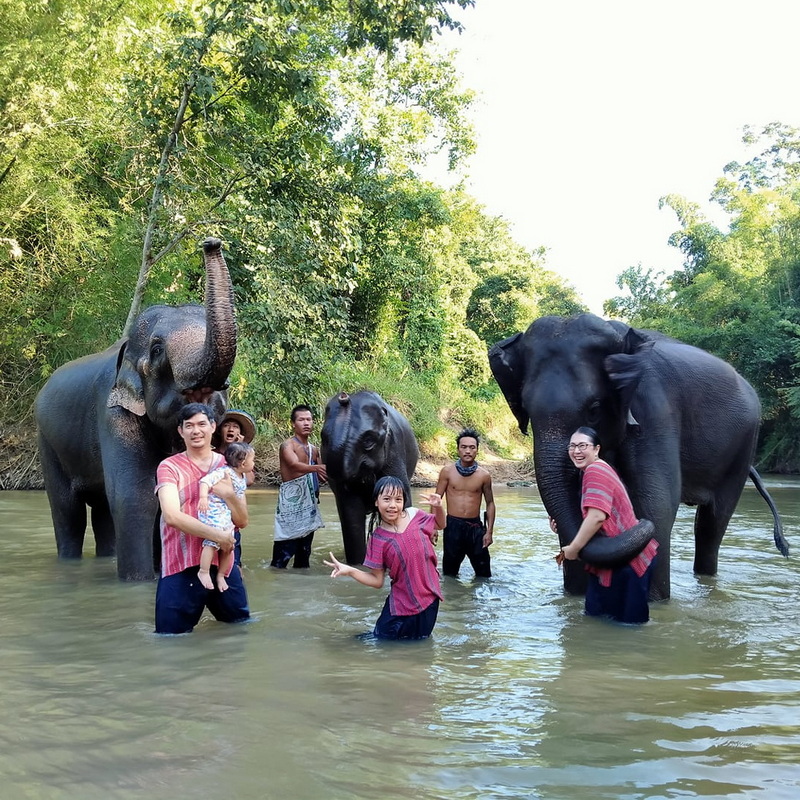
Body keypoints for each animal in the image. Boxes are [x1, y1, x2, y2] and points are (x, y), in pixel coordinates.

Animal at [36, 238, 236, 580]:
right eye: (157, 351)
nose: (211, 242)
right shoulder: (113, 415)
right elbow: (134, 497)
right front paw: (138, 583)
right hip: (48, 443)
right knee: (67, 510)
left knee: (102, 509)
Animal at [320, 392, 418, 564]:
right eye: (323, 439)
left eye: (368, 441)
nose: (343, 397)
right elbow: (351, 511)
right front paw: (358, 564)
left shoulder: (394, 450)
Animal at [488, 312, 788, 600]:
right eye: (526, 409)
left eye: (594, 410)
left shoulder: (655, 410)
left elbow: (657, 505)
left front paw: (654, 602)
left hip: (744, 446)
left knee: (711, 525)